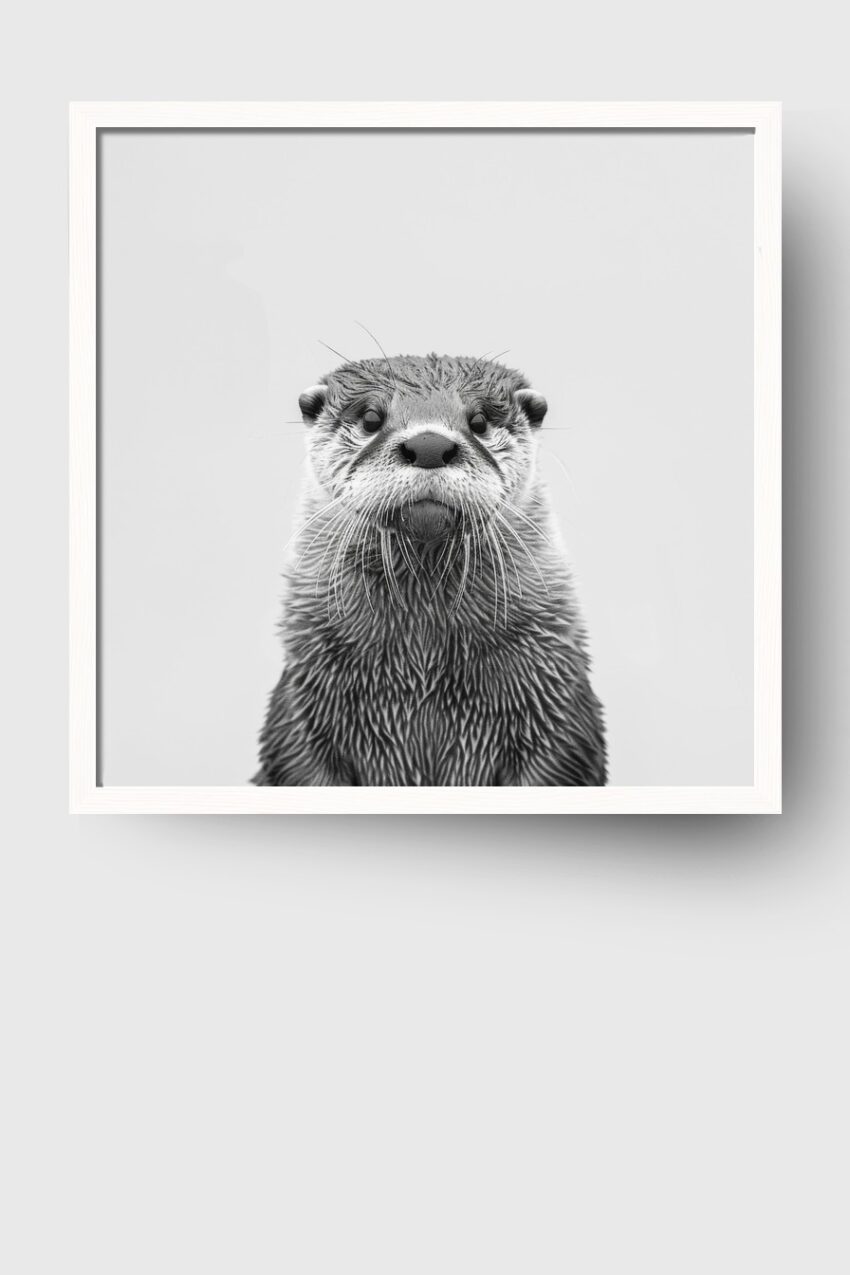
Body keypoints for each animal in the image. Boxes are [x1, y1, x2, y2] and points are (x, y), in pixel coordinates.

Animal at [255, 353, 606, 786]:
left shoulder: (556, 703)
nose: (429, 445)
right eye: (371, 417)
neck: (423, 663)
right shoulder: (302, 706)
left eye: (479, 421)